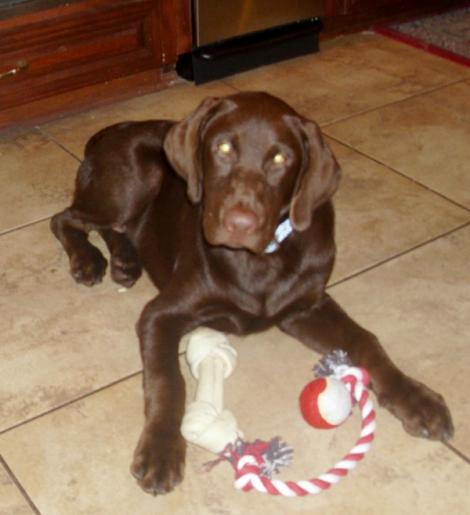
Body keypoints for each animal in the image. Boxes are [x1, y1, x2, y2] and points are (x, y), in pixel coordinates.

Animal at [50, 91, 452, 496]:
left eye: (280, 159)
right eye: (223, 148)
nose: (239, 224)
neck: (259, 261)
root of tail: (114, 129)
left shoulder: (306, 306)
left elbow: (365, 340)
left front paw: (416, 397)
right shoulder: (160, 314)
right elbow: (168, 380)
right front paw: (161, 449)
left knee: (111, 227)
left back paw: (125, 261)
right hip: (132, 183)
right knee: (66, 218)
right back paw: (88, 260)